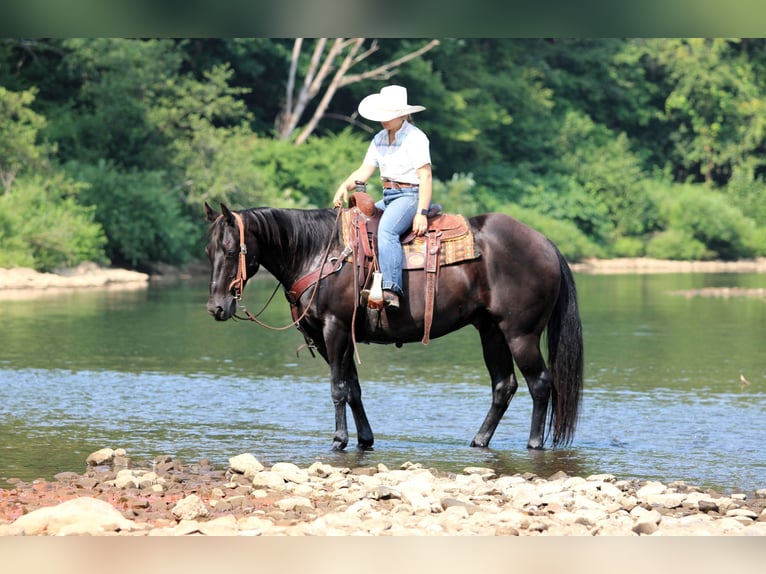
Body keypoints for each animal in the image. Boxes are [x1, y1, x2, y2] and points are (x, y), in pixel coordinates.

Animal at [205, 202, 584, 451]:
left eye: (231, 249)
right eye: (209, 251)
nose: (216, 307)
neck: (319, 252)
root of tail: (546, 244)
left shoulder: (335, 329)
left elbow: (338, 388)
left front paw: (339, 439)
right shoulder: (333, 338)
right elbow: (353, 388)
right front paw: (364, 439)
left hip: (520, 334)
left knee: (540, 383)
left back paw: (534, 443)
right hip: (491, 332)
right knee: (504, 386)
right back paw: (479, 440)